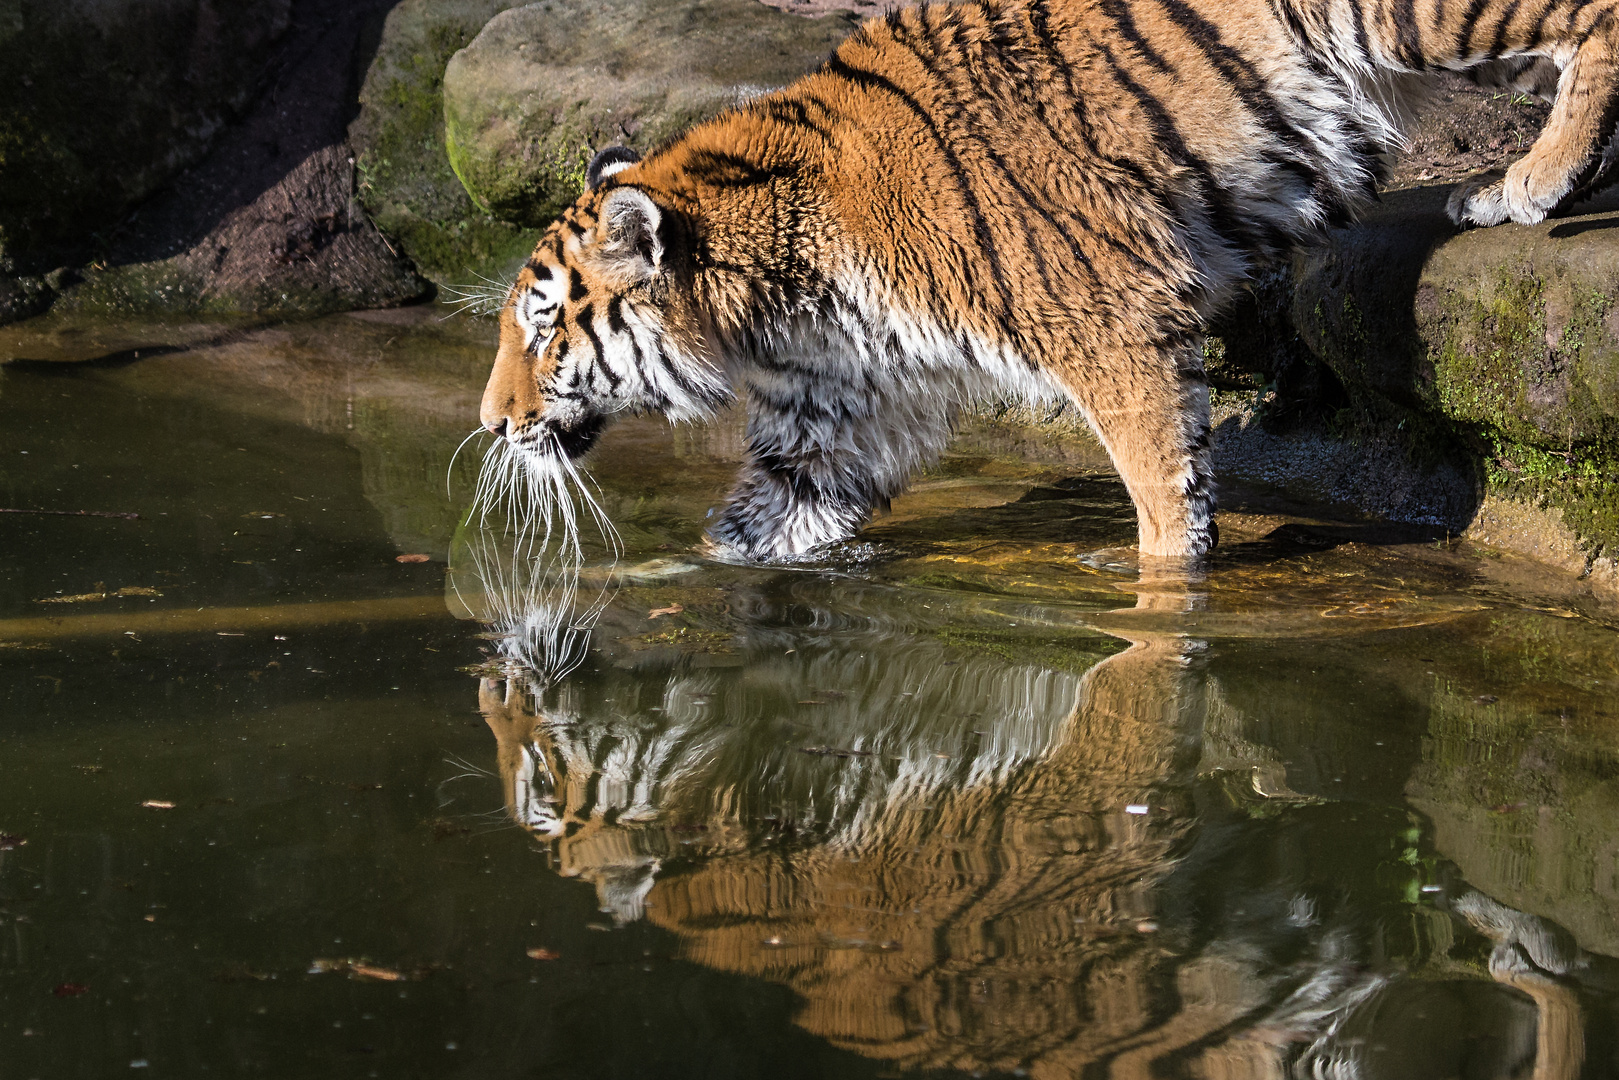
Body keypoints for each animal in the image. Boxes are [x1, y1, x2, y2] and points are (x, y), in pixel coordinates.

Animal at [475, 4, 1606, 566]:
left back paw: (1532, 180)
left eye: (543, 332)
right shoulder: (838, 415)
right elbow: (754, 529)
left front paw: (1160, 608)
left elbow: (1164, 503)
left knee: (1592, 16)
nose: (491, 423)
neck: (782, 290)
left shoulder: (1112, 325)